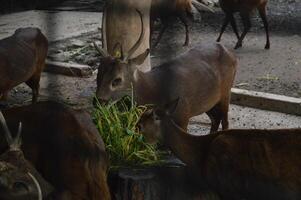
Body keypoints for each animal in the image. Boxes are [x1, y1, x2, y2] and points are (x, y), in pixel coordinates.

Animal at [92, 9, 236, 132]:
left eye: (117, 79)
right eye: (98, 76)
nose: (98, 102)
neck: (155, 90)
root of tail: (231, 54)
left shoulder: (183, 115)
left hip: (226, 92)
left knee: (225, 122)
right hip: (209, 101)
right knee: (215, 119)